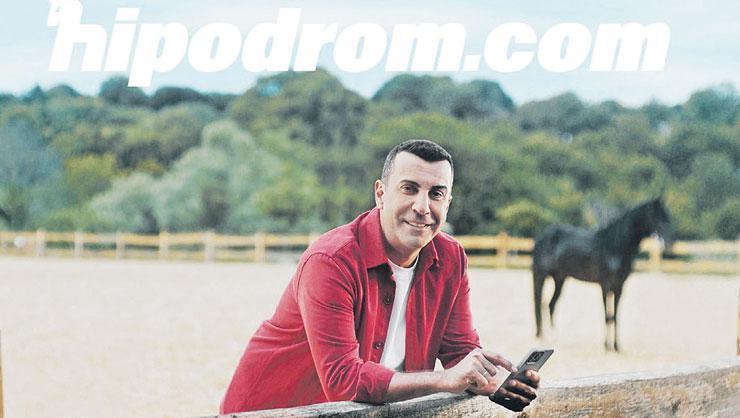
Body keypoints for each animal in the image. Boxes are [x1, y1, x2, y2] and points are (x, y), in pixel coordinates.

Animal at [531, 198, 672, 351]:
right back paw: (543, 338)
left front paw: (616, 347)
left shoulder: (619, 287)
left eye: (667, 217)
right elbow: (607, 316)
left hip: (559, 279)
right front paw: (606, 346)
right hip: (541, 276)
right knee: (539, 303)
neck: (615, 247)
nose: (669, 244)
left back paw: (554, 339)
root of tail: (541, 237)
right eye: (657, 218)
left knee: (550, 305)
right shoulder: (605, 286)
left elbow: (615, 317)